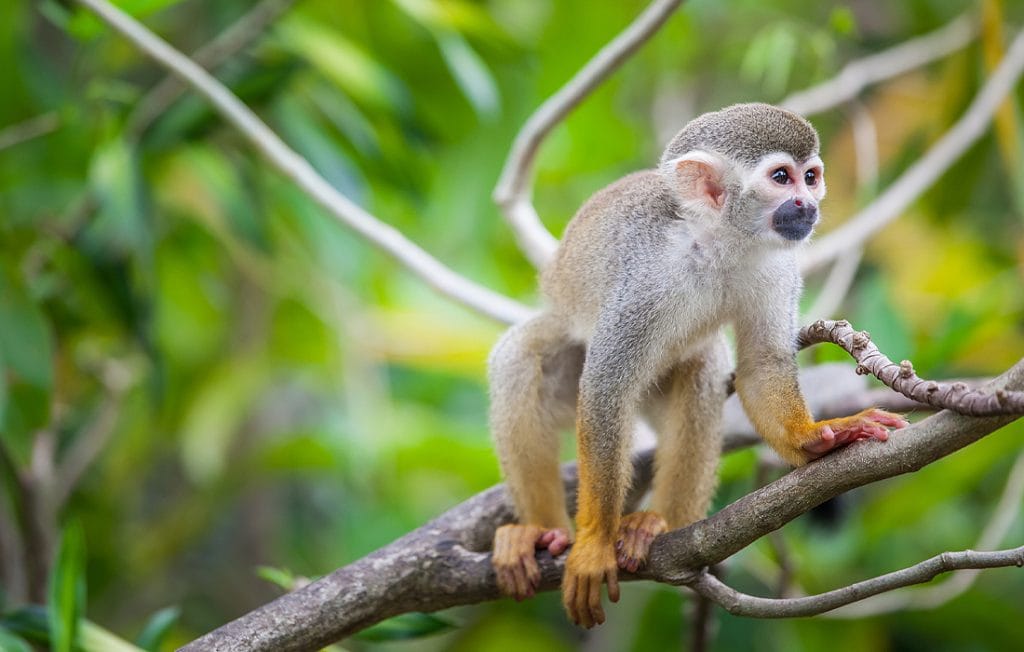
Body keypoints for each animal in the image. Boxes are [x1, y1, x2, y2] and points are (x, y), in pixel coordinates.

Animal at [487, 102, 905, 626]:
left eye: (811, 177)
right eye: (782, 177)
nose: (807, 205)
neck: (717, 239)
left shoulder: (777, 265)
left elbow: (761, 365)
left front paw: (815, 438)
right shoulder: (644, 278)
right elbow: (606, 389)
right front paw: (595, 543)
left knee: (702, 368)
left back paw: (658, 524)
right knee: (521, 359)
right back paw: (544, 532)